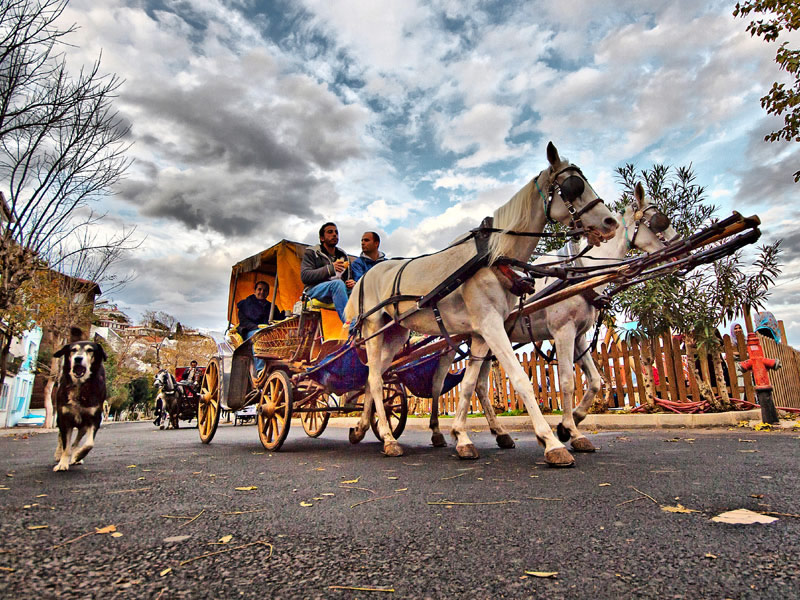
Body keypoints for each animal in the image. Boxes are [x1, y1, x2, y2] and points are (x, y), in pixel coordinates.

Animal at [52, 340, 108, 472]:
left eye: (90, 350)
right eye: (73, 350)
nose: (78, 358)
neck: (80, 386)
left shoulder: (94, 418)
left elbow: (89, 444)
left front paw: (78, 456)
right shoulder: (64, 418)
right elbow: (65, 445)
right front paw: (62, 463)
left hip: (83, 425)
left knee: (75, 443)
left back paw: (75, 457)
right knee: (61, 438)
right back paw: (59, 454)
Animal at [344, 142, 620, 464]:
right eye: (573, 186)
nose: (611, 222)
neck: (493, 257)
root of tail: (365, 276)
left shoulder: (480, 333)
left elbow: (467, 386)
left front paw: (462, 438)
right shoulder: (494, 326)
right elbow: (521, 380)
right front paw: (552, 441)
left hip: (396, 333)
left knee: (373, 378)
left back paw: (362, 428)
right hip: (372, 329)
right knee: (376, 381)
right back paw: (389, 439)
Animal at [428, 180, 680, 458]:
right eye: (658, 220)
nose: (678, 243)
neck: (577, 273)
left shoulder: (579, 336)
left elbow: (594, 381)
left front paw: (572, 423)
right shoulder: (563, 331)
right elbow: (568, 381)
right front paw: (571, 430)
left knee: (480, 386)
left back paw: (499, 432)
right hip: (451, 341)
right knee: (438, 382)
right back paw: (437, 430)